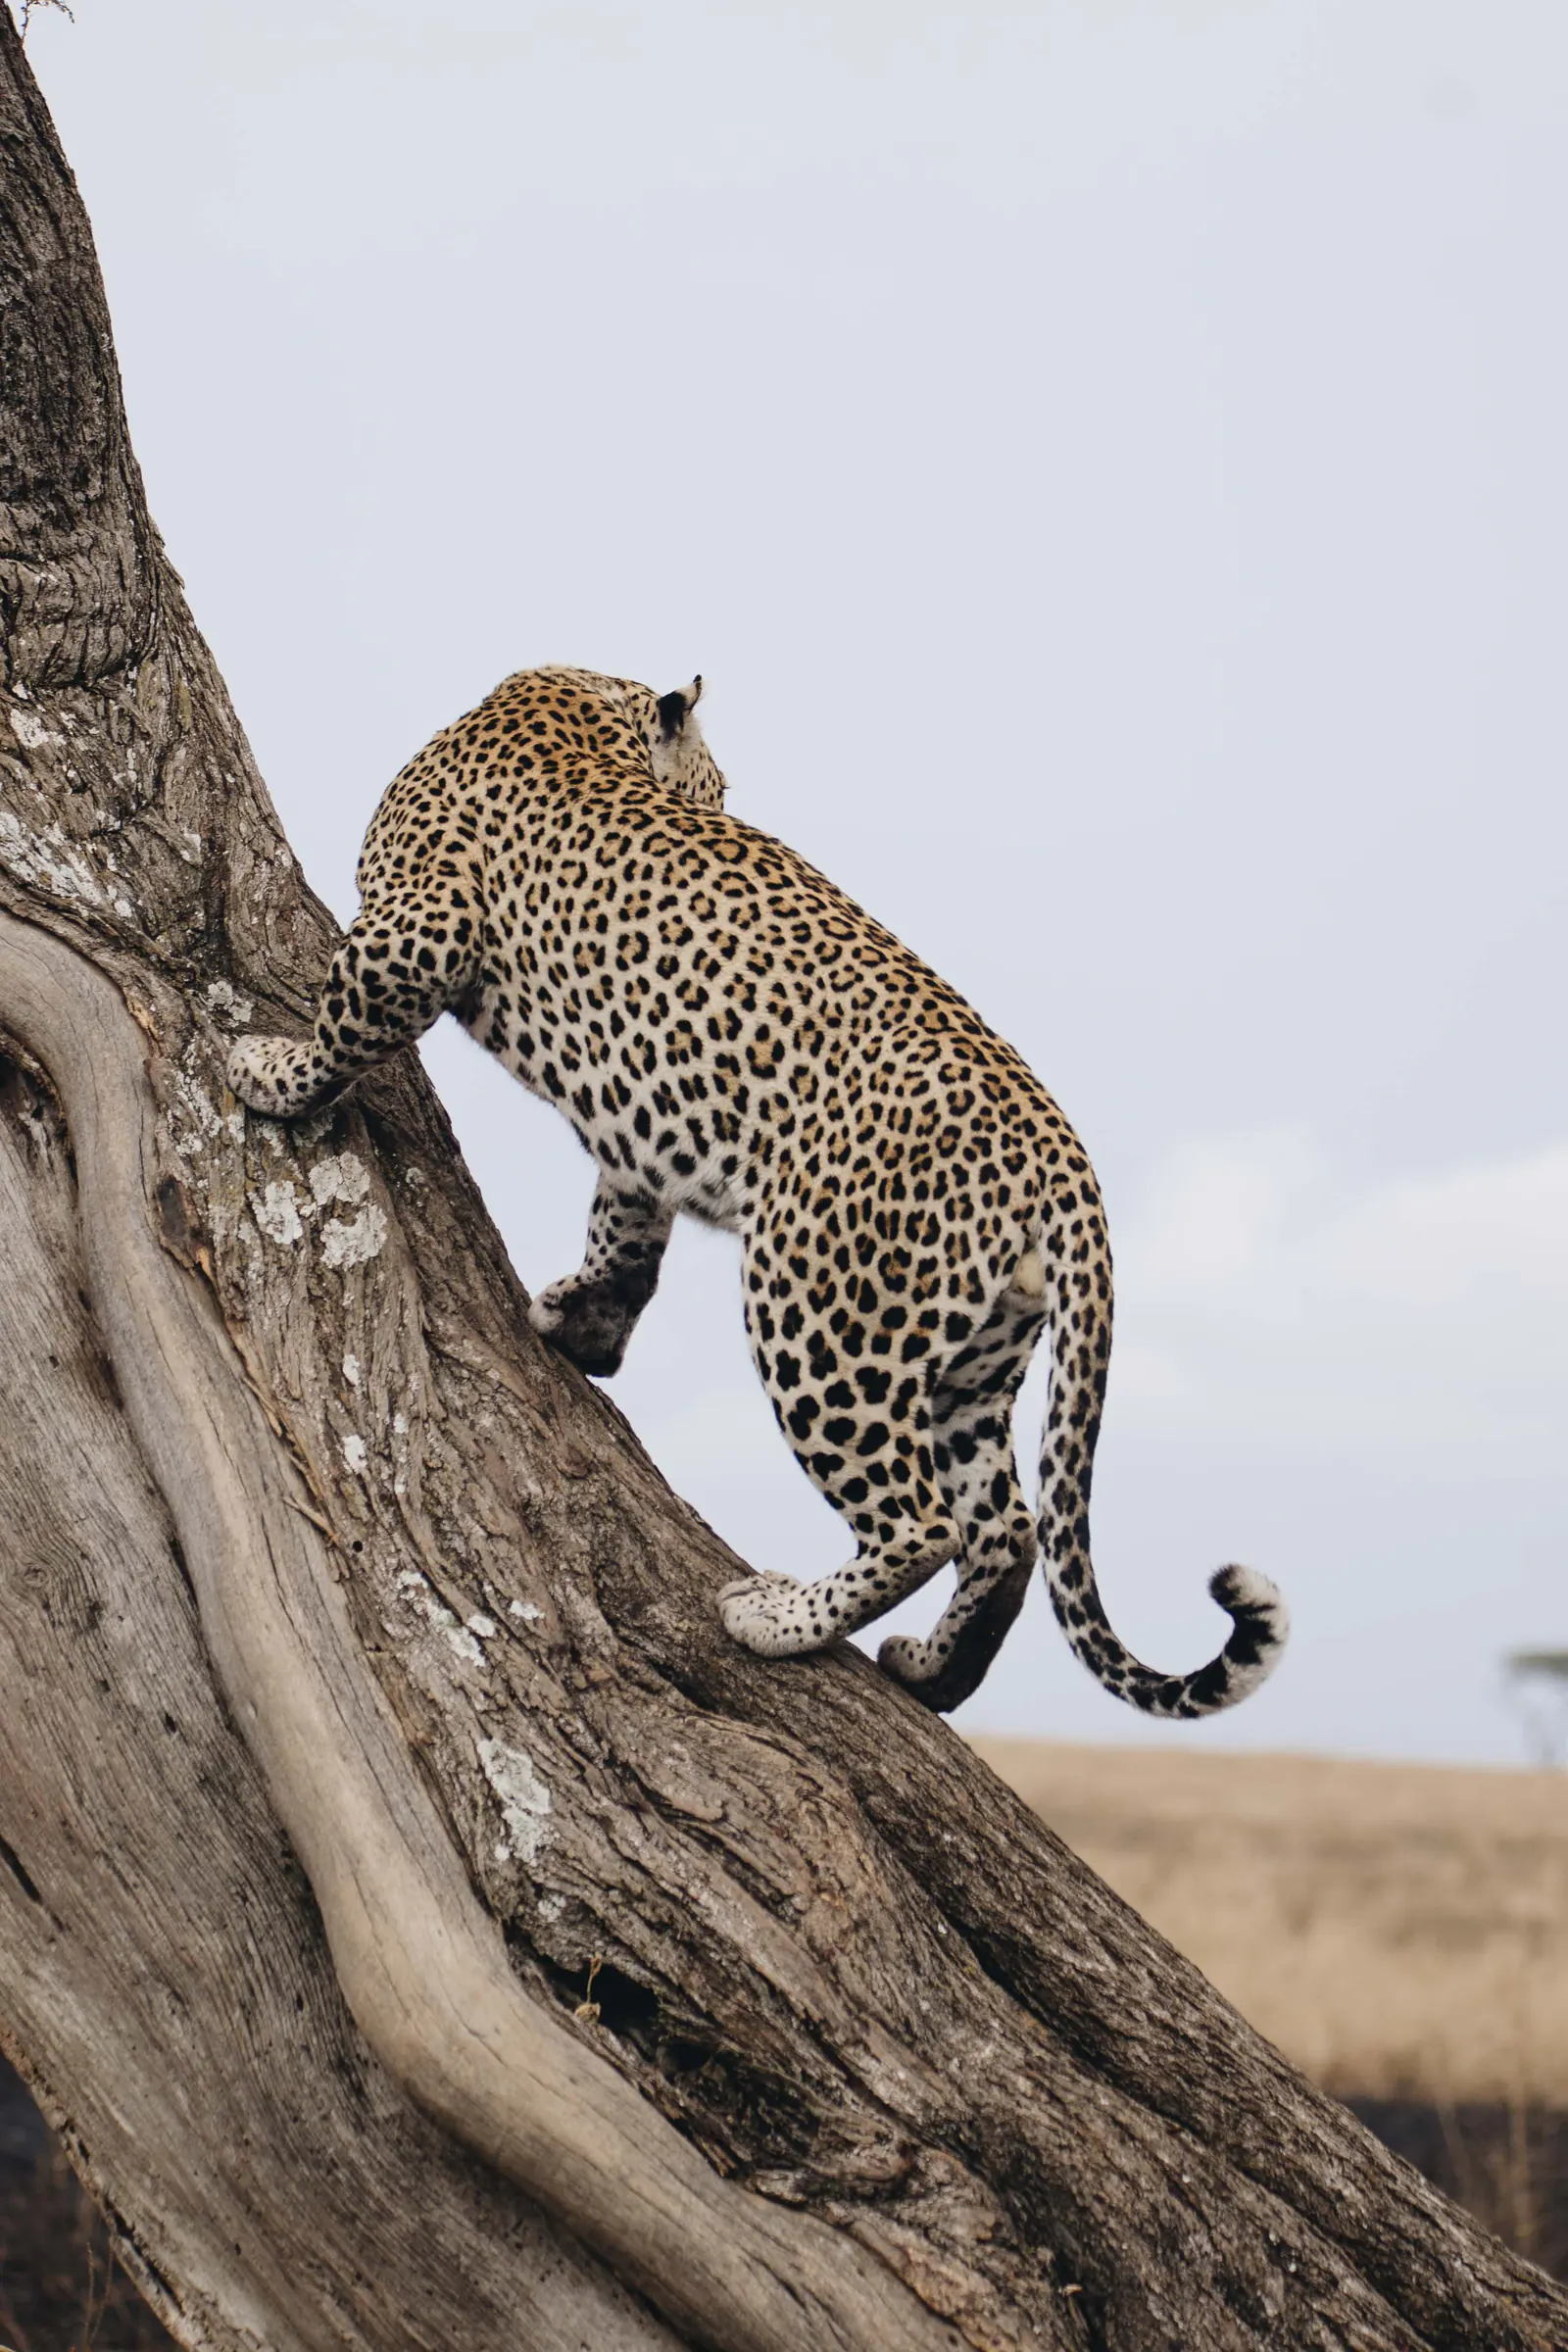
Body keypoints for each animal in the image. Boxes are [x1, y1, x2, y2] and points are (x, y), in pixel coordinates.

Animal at [228, 664, 1288, 1716]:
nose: (729, 805)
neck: (574, 693)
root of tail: (1066, 1162)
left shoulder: (420, 928)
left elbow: (341, 1028)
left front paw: (267, 1074)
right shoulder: (636, 1115)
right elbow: (627, 1230)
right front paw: (589, 1328)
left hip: (827, 1307)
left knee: (920, 1522)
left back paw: (779, 1618)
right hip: (976, 1355)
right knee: (1007, 1531)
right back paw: (935, 1672)